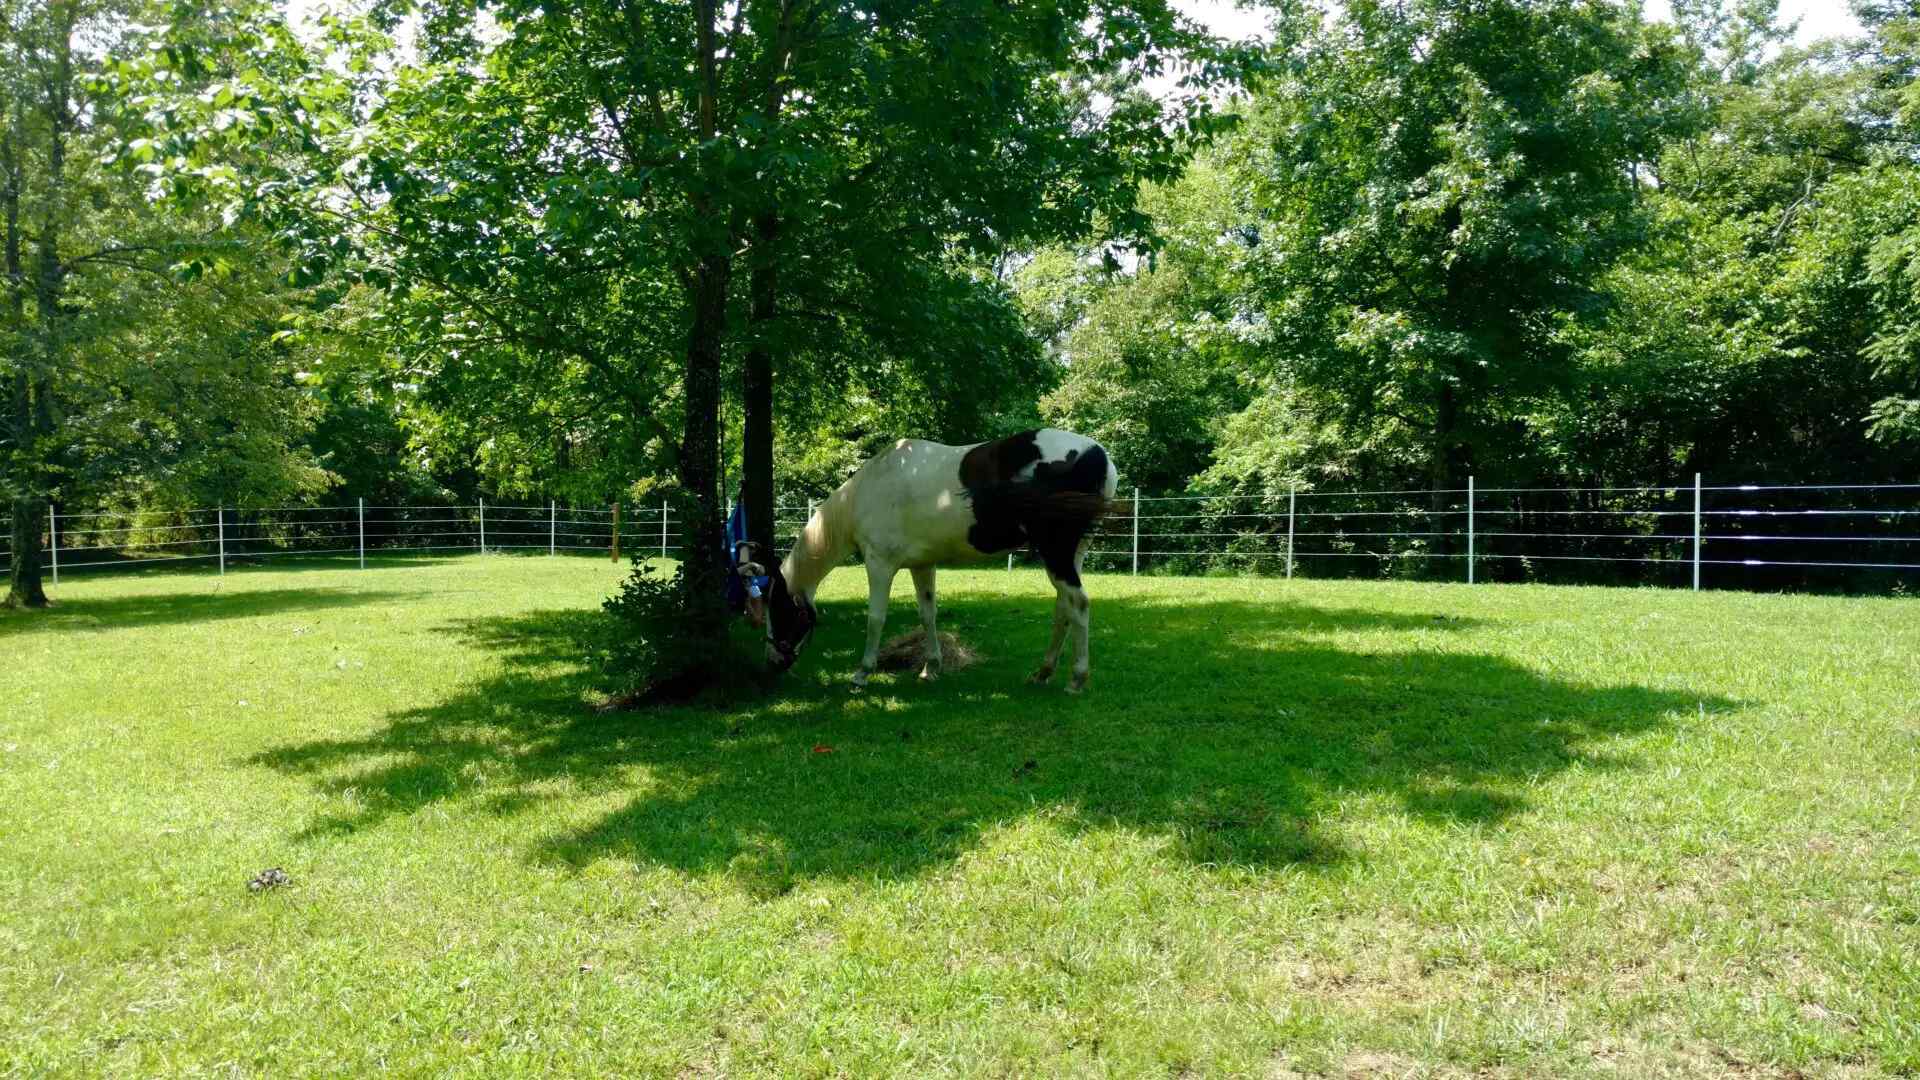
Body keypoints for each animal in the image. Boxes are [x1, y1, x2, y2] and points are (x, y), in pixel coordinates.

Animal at [744, 426, 1113, 687]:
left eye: (779, 609)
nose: (772, 663)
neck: (869, 490)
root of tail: (1099, 455)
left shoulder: (879, 564)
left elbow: (875, 617)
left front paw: (862, 673)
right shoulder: (922, 565)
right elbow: (927, 614)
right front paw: (931, 667)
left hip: (1056, 551)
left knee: (1078, 604)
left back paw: (1077, 678)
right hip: (1072, 553)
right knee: (1064, 607)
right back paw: (1044, 671)